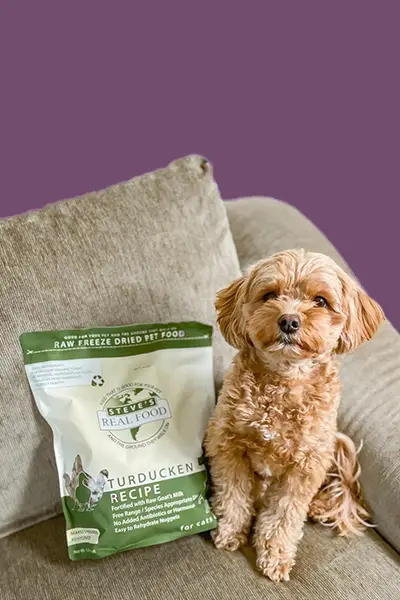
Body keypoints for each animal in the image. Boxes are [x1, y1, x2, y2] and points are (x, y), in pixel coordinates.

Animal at [205, 248, 386, 580]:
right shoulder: (228, 444)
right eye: (269, 295)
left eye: (321, 301)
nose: (288, 320)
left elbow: (283, 516)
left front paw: (275, 556)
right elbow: (233, 495)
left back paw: (319, 506)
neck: (285, 379)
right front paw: (230, 532)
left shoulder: (304, 467)